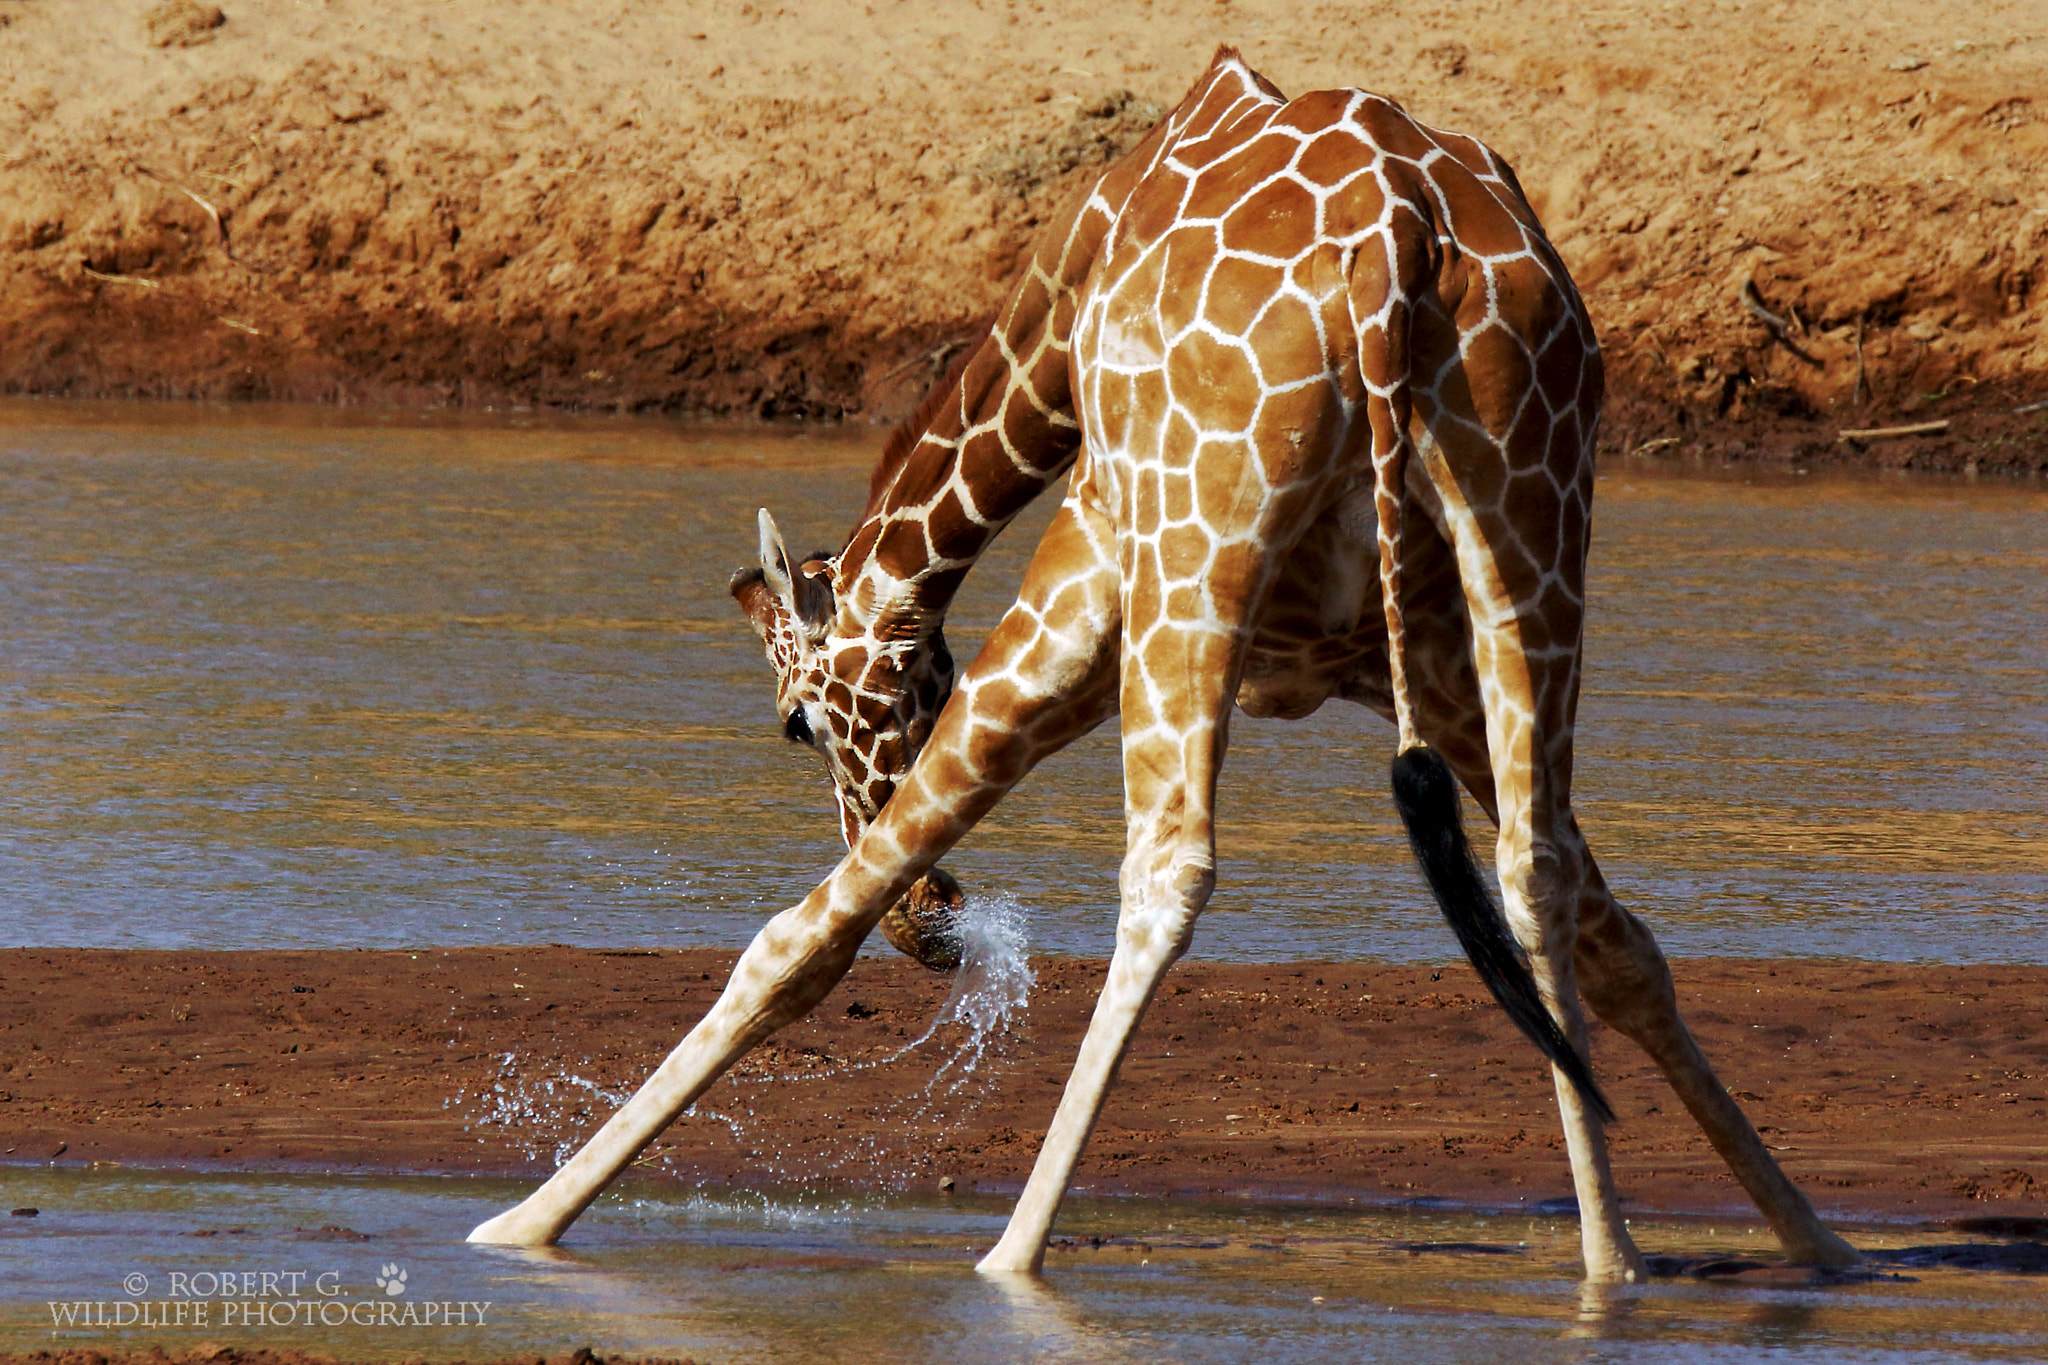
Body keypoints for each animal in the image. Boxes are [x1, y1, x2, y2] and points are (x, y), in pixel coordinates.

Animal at [471, 48, 1867, 1285]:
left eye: (794, 725)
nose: (938, 932)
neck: (1053, 326)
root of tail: (1400, 247)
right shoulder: (1403, 668)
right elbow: (1612, 936)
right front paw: (1813, 1242)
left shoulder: (1086, 584)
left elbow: (801, 936)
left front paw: (518, 1225)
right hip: (1531, 537)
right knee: (1530, 869)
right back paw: (1611, 1263)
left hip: (1195, 561)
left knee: (1167, 870)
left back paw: (1010, 1256)